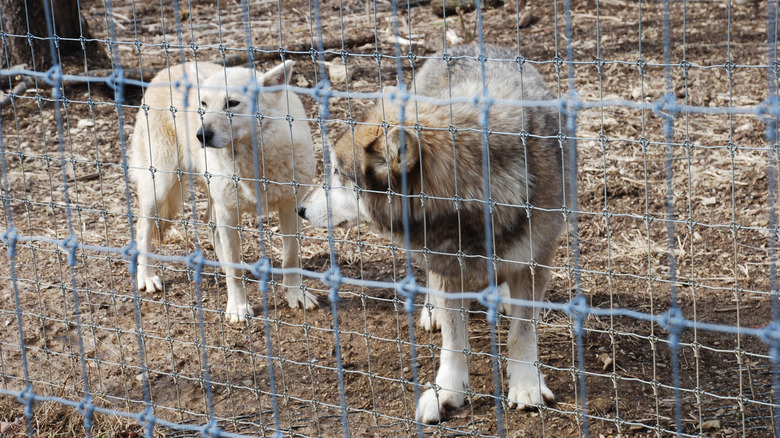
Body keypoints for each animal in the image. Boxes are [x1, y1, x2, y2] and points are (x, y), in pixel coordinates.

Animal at [129, 60, 317, 324]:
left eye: (232, 103)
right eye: (204, 104)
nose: (201, 135)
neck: (252, 163)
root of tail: (165, 70)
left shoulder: (289, 206)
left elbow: (290, 256)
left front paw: (295, 295)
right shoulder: (229, 212)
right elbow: (234, 270)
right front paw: (238, 308)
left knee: (209, 224)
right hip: (161, 186)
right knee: (143, 226)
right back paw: (146, 276)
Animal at [297, 45, 568, 423]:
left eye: (337, 172)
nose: (300, 209)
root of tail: (465, 45)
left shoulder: (534, 261)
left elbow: (522, 334)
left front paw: (526, 386)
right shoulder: (449, 266)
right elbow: (454, 342)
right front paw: (448, 392)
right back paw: (432, 311)